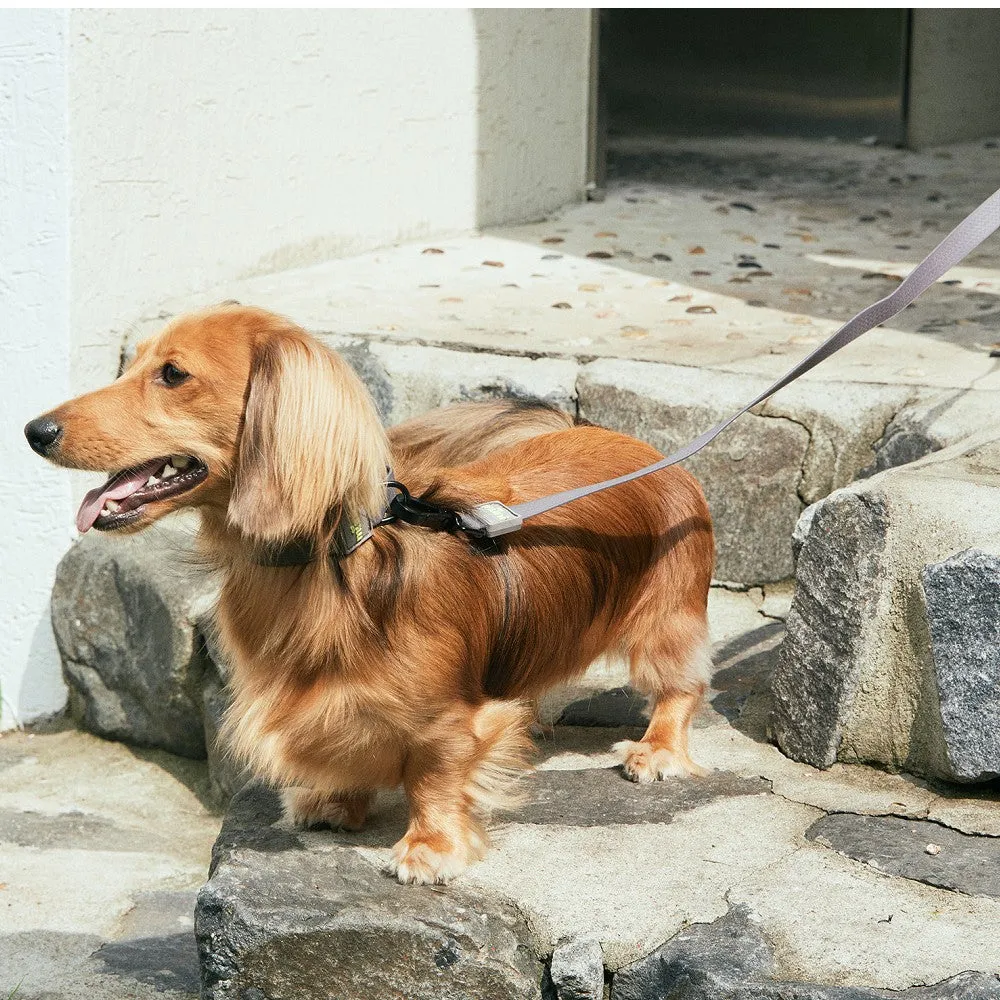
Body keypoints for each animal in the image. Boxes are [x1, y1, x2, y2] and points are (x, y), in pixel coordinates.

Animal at [27, 304, 716, 884]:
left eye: (173, 374)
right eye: (134, 363)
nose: (35, 430)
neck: (329, 560)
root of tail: (630, 440)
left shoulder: (448, 721)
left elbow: (436, 775)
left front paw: (429, 849)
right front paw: (335, 800)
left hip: (665, 623)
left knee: (682, 686)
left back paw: (656, 749)